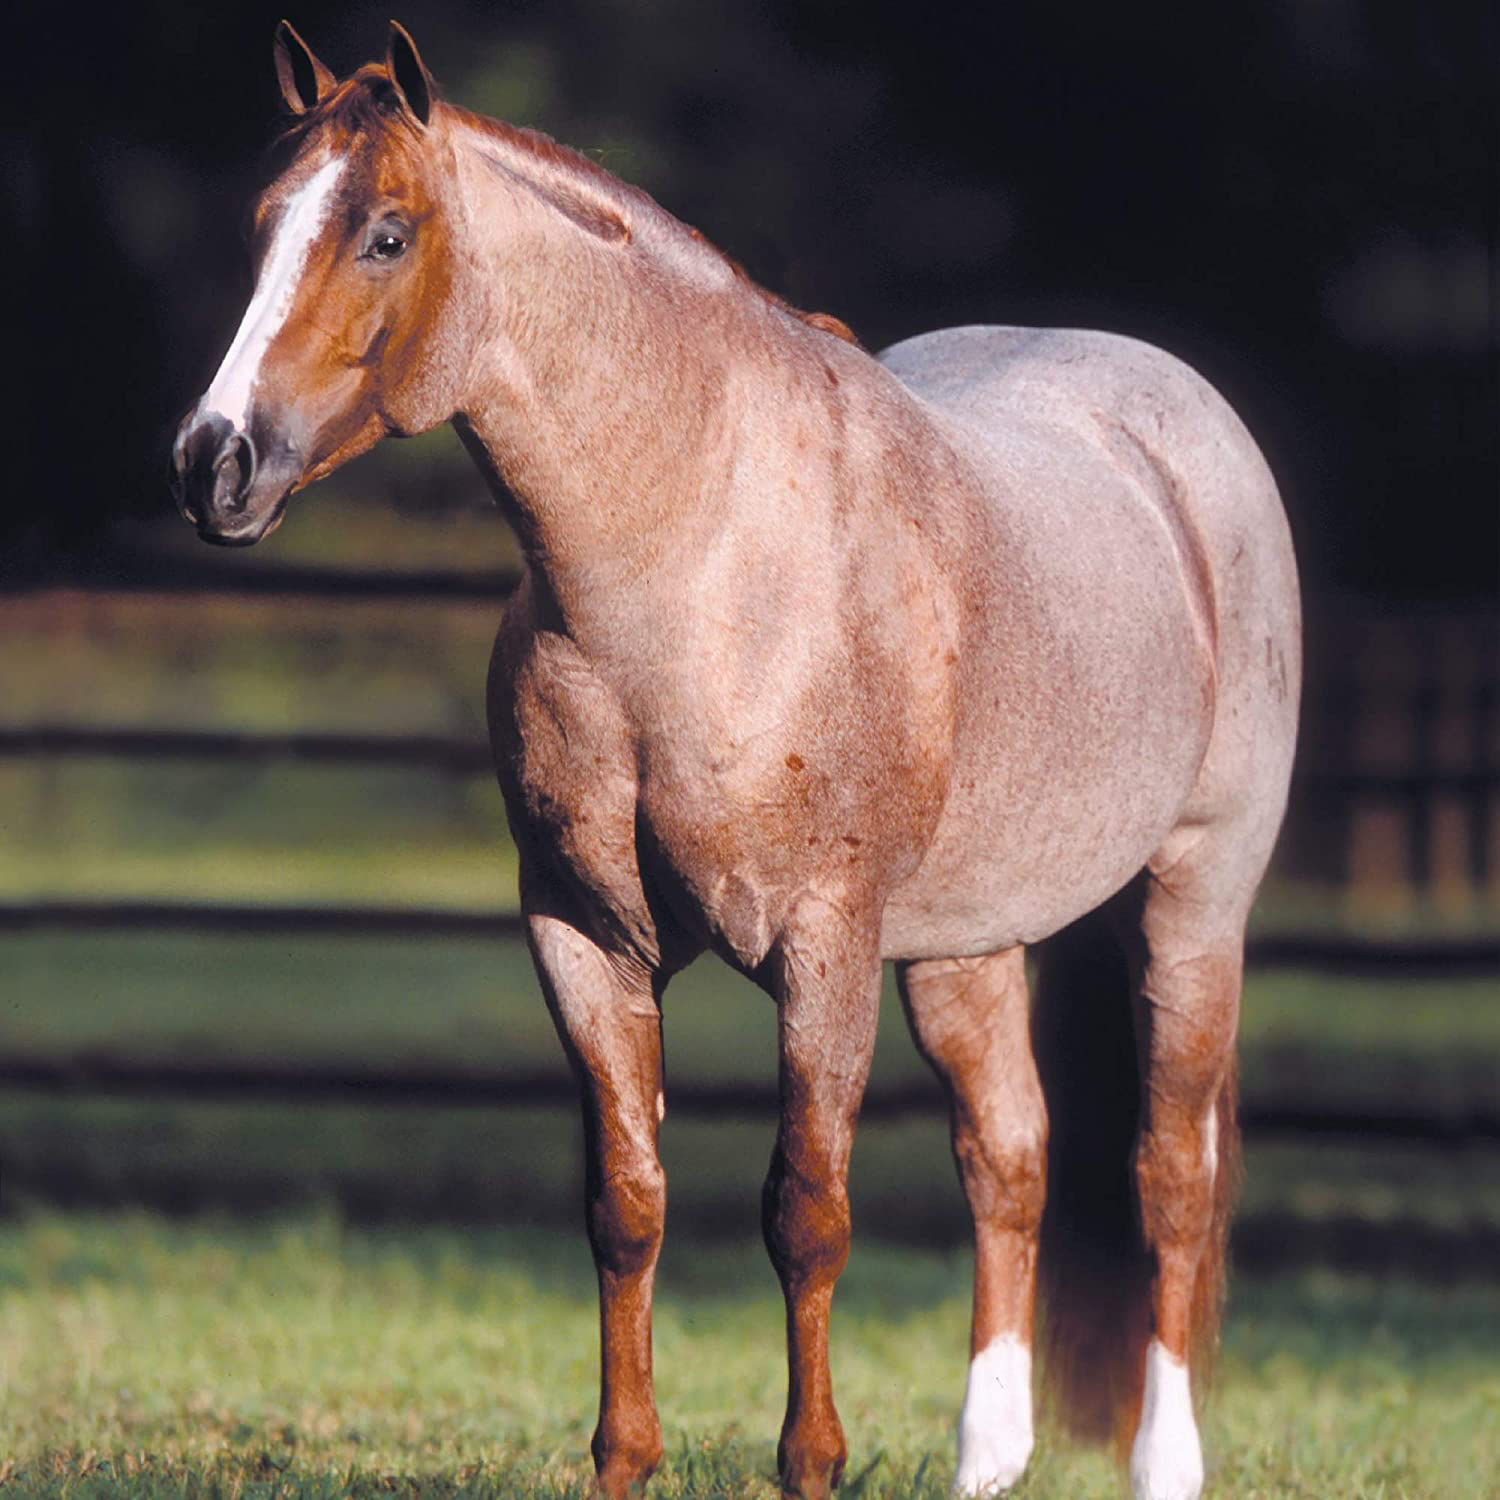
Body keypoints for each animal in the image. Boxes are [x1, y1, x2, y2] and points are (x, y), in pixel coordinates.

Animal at [172, 23, 1302, 1500]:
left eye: (385, 233)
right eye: (263, 225)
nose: (214, 463)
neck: (693, 569)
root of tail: (1185, 428)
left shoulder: (821, 950)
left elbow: (805, 1213)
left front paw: (809, 1462)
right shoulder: (584, 939)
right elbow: (627, 1202)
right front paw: (622, 1459)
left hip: (1192, 906)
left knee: (1170, 1171)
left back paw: (1165, 1460)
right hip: (967, 947)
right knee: (1010, 1158)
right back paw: (987, 1460)